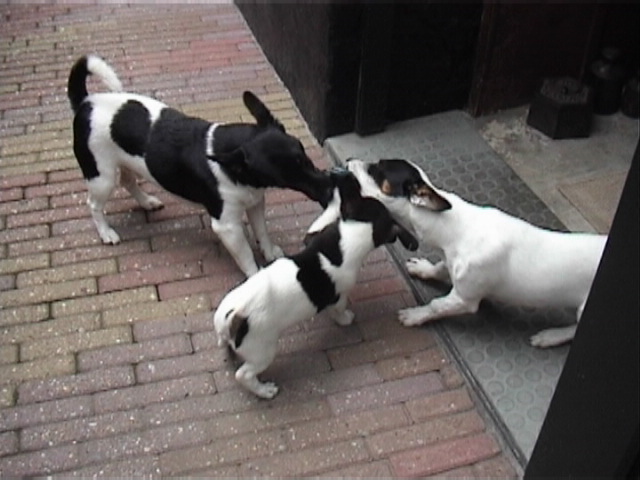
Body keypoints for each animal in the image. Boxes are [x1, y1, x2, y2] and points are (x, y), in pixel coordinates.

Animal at [67, 55, 332, 276]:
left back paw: (147, 202)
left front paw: (269, 251)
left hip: (120, 164)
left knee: (128, 181)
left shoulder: (256, 203)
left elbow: (261, 231)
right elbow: (246, 255)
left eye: (305, 157)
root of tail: (87, 102)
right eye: (286, 176)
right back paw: (106, 233)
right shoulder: (227, 226)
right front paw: (256, 277)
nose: (330, 187)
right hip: (102, 177)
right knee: (94, 205)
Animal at [213, 169, 418, 398]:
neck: (353, 233)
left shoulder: (315, 234)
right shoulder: (340, 295)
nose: (345, 176)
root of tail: (233, 316)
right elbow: (339, 309)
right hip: (262, 350)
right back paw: (264, 391)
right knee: (244, 375)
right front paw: (345, 319)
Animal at [346, 158, 607, 348]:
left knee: (575, 331)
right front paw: (424, 268)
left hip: (584, 310)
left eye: (376, 170)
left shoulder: (464, 299)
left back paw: (551, 336)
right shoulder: (452, 263)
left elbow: (436, 306)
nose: (348, 161)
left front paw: (416, 315)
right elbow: (440, 268)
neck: (454, 227)